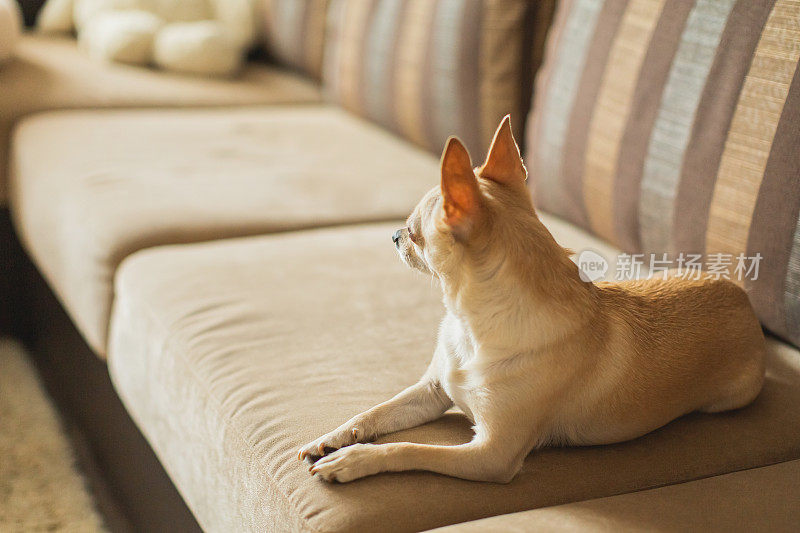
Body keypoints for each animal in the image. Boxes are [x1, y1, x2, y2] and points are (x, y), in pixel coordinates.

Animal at [296, 115, 764, 482]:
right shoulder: (431, 392)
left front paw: (353, 460)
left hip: (730, 397)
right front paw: (332, 438)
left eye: (414, 233)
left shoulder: (490, 455)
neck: (471, 327)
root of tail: (743, 298)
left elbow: (411, 449)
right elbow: (374, 412)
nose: (393, 235)